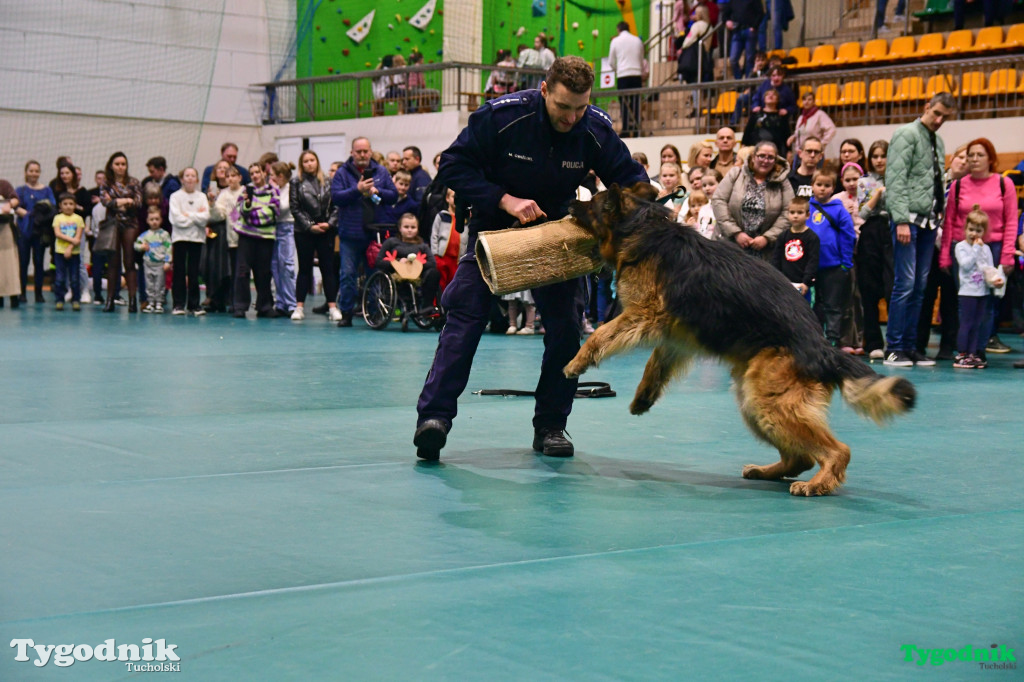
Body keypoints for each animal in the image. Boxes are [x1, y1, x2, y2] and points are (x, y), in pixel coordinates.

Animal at [565, 186, 917, 493]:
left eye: (592, 203)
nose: (569, 201)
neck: (640, 228)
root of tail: (822, 348)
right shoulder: (676, 336)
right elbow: (655, 364)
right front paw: (643, 397)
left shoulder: (643, 314)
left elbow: (600, 334)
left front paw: (577, 362)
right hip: (755, 402)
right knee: (800, 456)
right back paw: (768, 471)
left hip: (769, 403)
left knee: (837, 450)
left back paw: (818, 484)